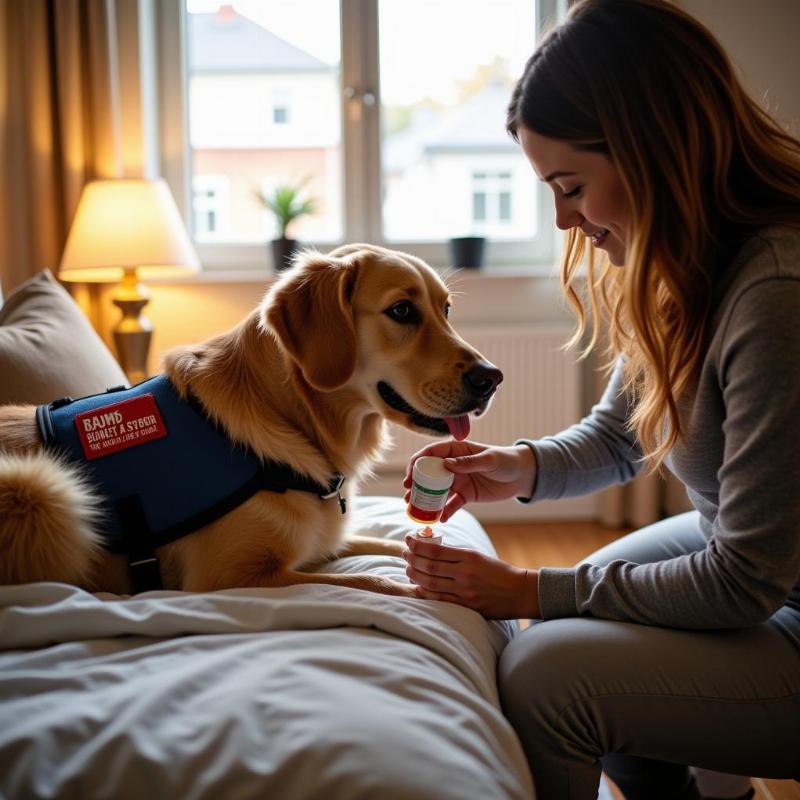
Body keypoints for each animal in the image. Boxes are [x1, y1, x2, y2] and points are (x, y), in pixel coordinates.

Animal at [0, 247, 500, 596]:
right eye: (401, 311)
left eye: (446, 310)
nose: (491, 378)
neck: (293, 417)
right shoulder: (234, 576)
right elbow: (371, 582)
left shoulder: (322, 544)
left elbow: (389, 546)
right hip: (41, 487)